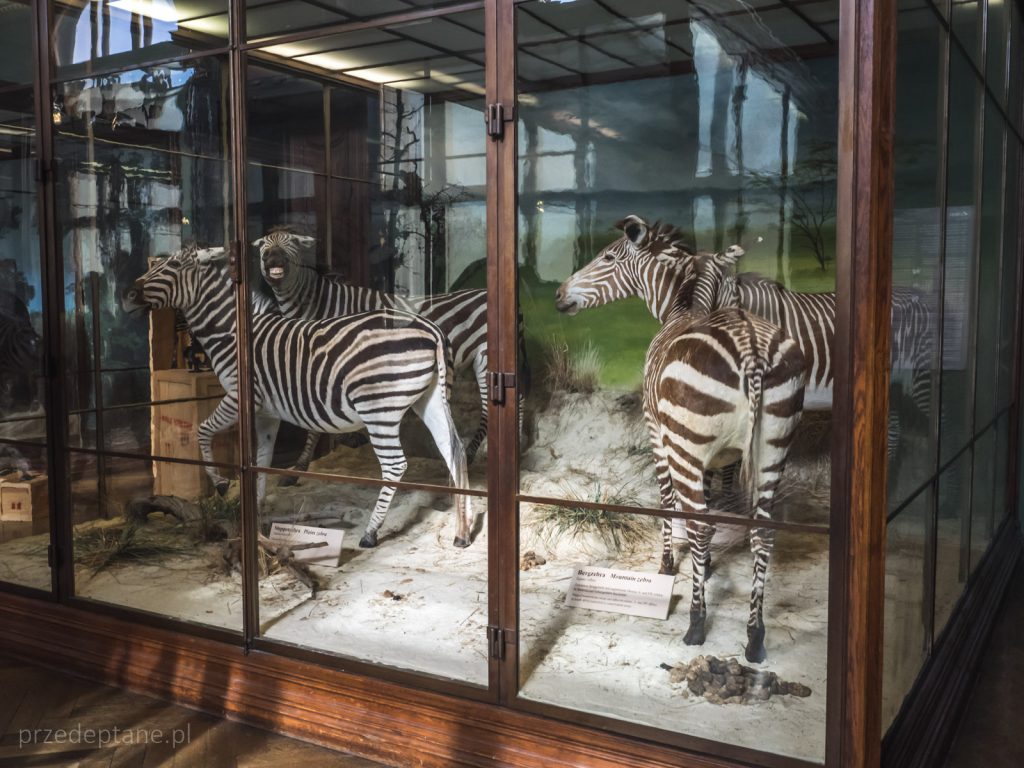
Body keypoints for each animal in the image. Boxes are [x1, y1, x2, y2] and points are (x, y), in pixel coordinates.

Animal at [121, 243, 473, 548]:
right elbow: (261, 460)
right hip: (429, 399)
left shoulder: (239, 397)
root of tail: (431, 330)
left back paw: (371, 533)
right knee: (454, 451)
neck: (233, 334)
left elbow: (202, 431)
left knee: (396, 465)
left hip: (378, 409)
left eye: (174, 266)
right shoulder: (267, 412)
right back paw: (463, 531)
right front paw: (255, 513)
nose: (127, 295)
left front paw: (220, 484)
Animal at [253, 225, 528, 473]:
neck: (318, 306)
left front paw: (300, 466)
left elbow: (314, 420)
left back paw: (486, 453)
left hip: (484, 357)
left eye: (292, 242)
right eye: (263, 245)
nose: (271, 257)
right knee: (518, 397)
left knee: (496, 405)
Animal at [638, 247, 806, 667]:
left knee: (699, 524)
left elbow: (669, 503)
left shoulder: (658, 436)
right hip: (773, 448)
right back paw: (754, 636)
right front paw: (708, 564)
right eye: (736, 286)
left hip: (686, 446)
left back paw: (696, 623)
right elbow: (713, 500)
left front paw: (668, 565)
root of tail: (751, 349)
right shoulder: (717, 458)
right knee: (762, 532)